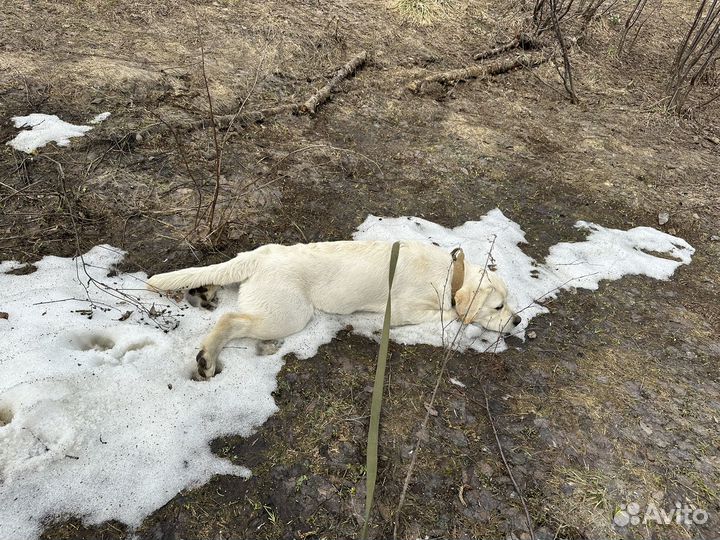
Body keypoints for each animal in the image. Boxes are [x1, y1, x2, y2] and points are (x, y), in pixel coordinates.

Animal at [146, 242, 520, 380]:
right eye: (498, 306)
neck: (451, 275)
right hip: (289, 314)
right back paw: (207, 358)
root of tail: (261, 254)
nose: (517, 320)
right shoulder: (406, 309)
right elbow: (454, 314)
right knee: (230, 319)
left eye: (510, 302)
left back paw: (206, 292)